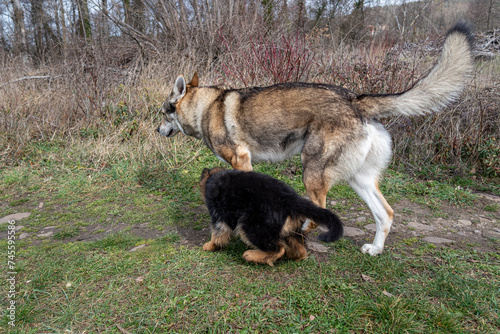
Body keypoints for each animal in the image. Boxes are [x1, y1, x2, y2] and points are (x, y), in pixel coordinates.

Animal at [199, 167, 344, 266]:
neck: (214, 177)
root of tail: (291, 199)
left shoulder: (218, 215)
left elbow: (218, 235)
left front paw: (209, 246)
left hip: (251, 225)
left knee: (278, 249)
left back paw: (251, 255)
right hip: (290, 228)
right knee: (299, 249)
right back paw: (295, 257)